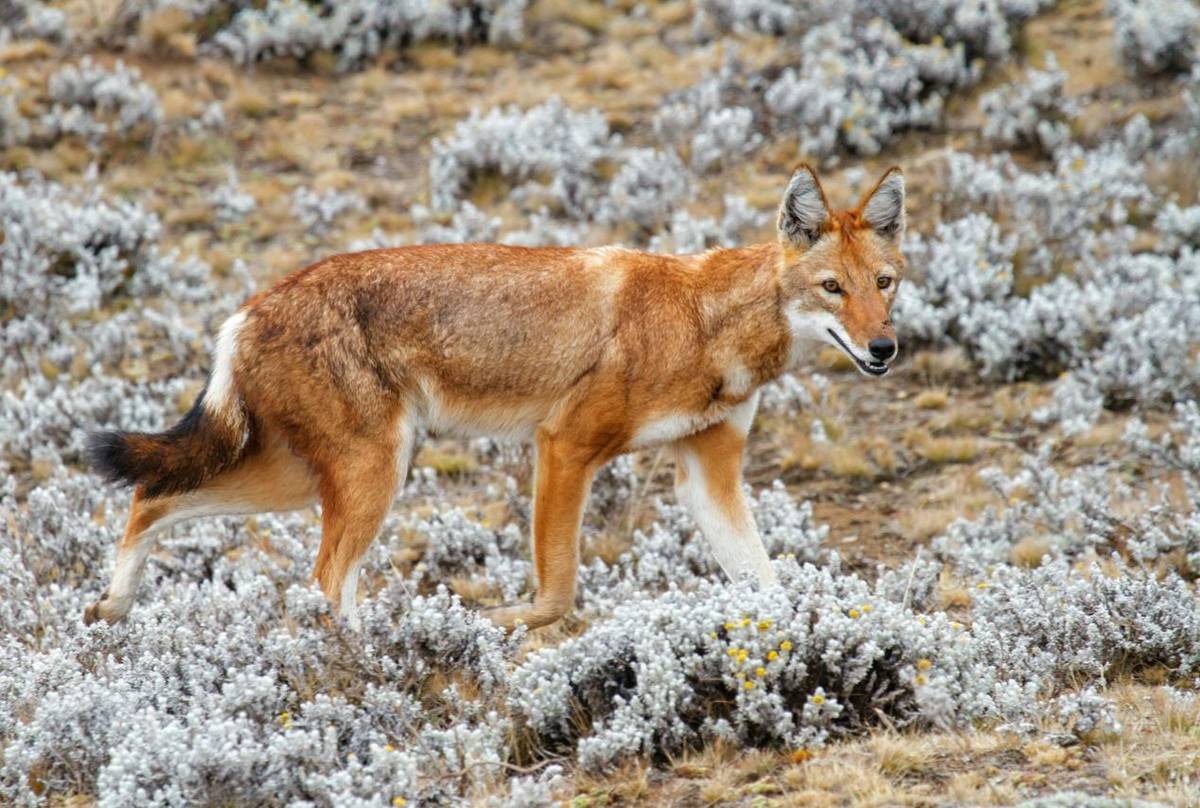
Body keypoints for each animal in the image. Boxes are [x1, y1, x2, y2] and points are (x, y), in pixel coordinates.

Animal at [87, 163, 907, 629]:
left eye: (885, 284)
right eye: (832, 289)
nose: (884, 350)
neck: (704, 323)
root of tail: (249, 309)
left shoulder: (710, 475)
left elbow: (768, 583)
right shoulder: (564, 446)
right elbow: (559, 593)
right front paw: (499, 625)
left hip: (303, 482)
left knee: (151, 496)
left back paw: (112, 607)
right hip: (368, 480)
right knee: (321, 584)